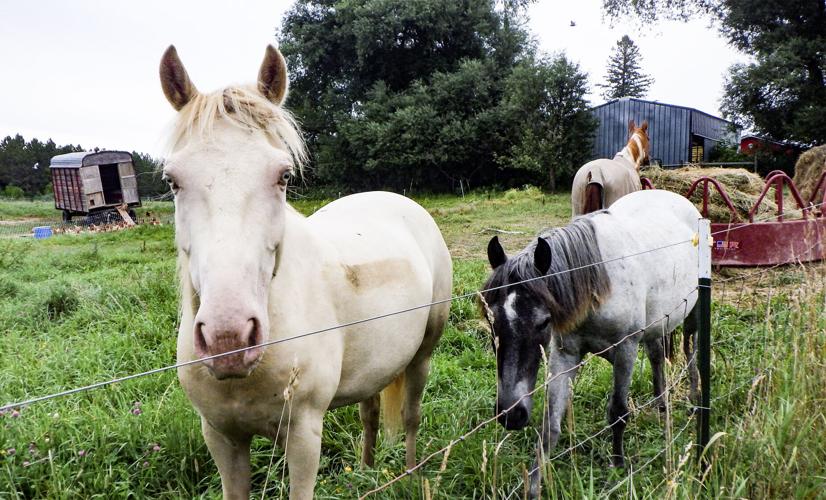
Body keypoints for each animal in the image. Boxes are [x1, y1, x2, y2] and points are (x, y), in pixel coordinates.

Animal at [159, 45, 452, 499]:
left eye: (283, 176)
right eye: (172, 180)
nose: (229, 339)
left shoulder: (303, 436)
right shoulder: (221, 438)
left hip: (423, 354)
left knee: (410, 415)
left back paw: (409, 475)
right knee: (369, 412)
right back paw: (366, 471)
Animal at [481, 189, 699, 498]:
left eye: (543, 323)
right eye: (492, 322)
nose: (512, 415)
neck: (599, 285)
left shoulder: (626, 349)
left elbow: (618, 412)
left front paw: (617, 466)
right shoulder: (565, 354)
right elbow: (550, 424)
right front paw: (534, 485)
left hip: (693, 313)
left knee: (691, 352)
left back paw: (694, 399)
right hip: (657, 324)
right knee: (658, 358)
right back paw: (661, 407)